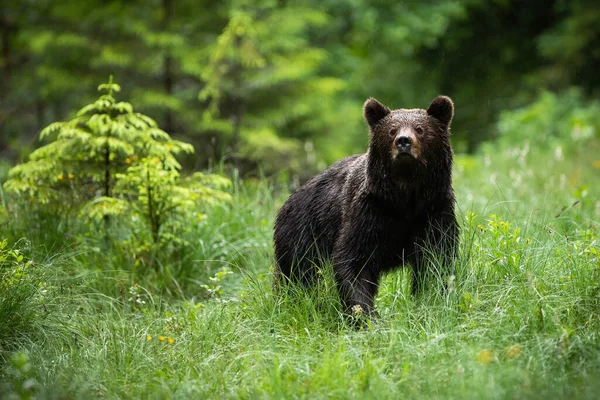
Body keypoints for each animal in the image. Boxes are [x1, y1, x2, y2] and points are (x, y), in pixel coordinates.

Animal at [274, 96, 458, 316]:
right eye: (392, 130)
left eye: (420, 129)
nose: (403, 141)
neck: (404, 197)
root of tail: (287, 202)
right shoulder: (370, 212)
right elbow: (354, 261)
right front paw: (366, 314)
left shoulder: (433, 211)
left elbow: (436, 260)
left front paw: (430, 300)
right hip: (304, 232)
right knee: (299, 275)